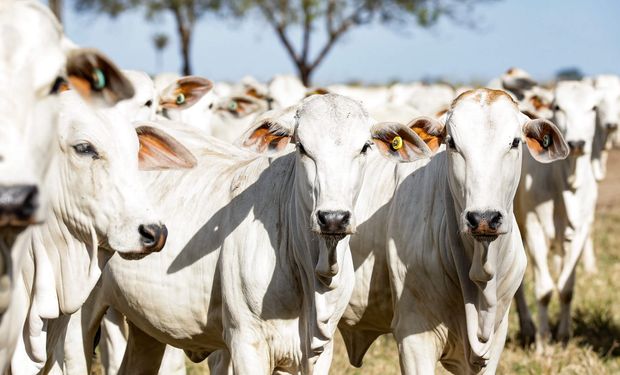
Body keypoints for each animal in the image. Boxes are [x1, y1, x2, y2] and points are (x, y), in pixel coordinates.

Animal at [74, 94, 432, 375]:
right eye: (302, 147)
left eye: (365, 147)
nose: (333, 218)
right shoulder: (248, 344)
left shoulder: (319, 351)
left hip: (145, 327)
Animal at [516, 82, 604, 350]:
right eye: (557, 106)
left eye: (593, 107)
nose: (577, 143)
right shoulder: (534, 226)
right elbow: (544, 290)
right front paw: (543, 342)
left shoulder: (581, 230)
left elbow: (566, 288)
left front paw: (564, 336)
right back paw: (527, 326)